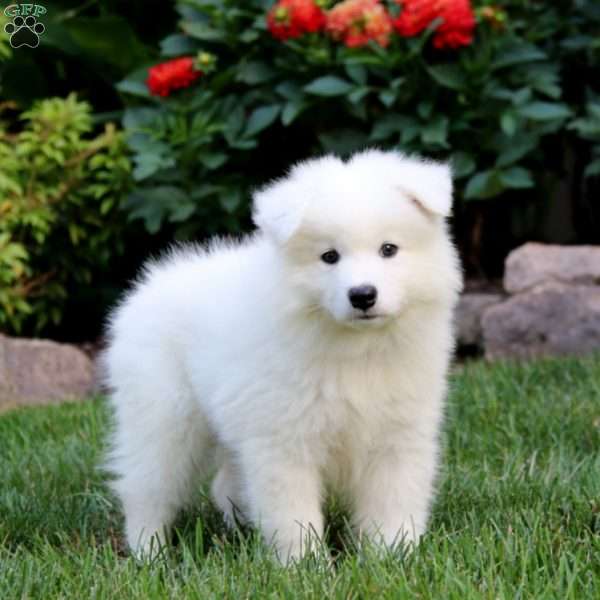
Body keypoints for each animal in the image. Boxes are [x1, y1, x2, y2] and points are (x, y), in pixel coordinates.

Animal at [103, 149, 462, 564]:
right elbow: (293, 514)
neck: (357, 349)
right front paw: (306, 565)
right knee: (147, 488)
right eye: (329, 256)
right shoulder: (284, 441)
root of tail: (148, 285)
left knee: (225, 482)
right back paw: (151, 552)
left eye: (389, 249)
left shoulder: (399, 434)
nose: (362, 295)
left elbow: (393, 501)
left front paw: (392, 555)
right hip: (163, 418)